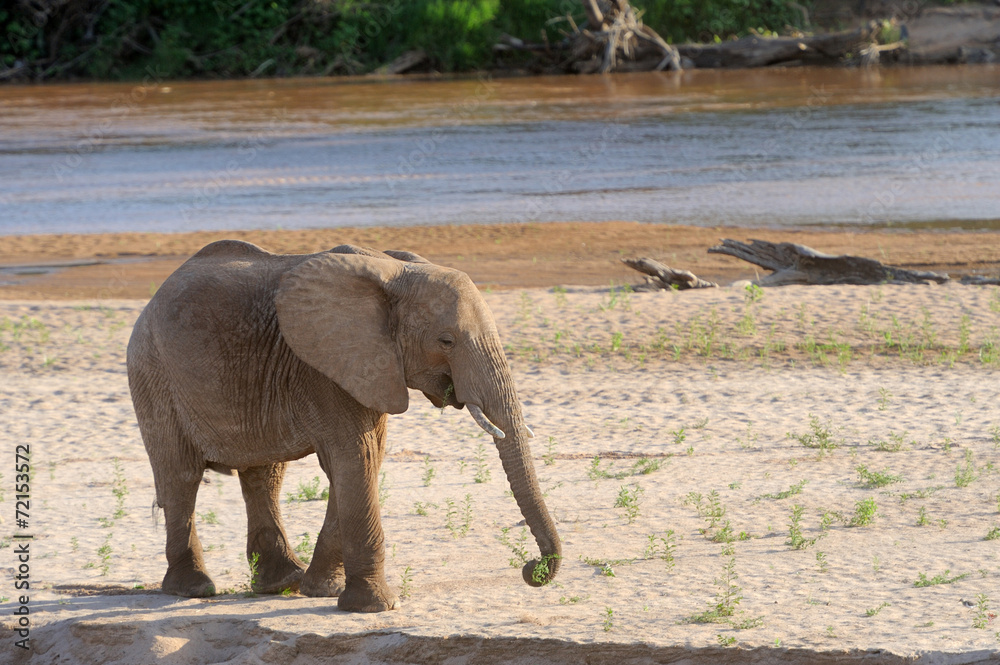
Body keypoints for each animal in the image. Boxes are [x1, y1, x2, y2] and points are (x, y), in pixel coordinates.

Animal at [126, 240, 560, 612]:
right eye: (446, 341)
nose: (531, 570)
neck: (396, 273)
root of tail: (153, 298)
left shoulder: (370, 364)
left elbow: (361, 461)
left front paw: (323, 591)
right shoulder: (324, 366)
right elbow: (357, 457)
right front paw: (374, 608)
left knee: (264, 477)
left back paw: (281, 584)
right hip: (152, 371)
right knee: (181, 475)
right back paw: (193, 590)